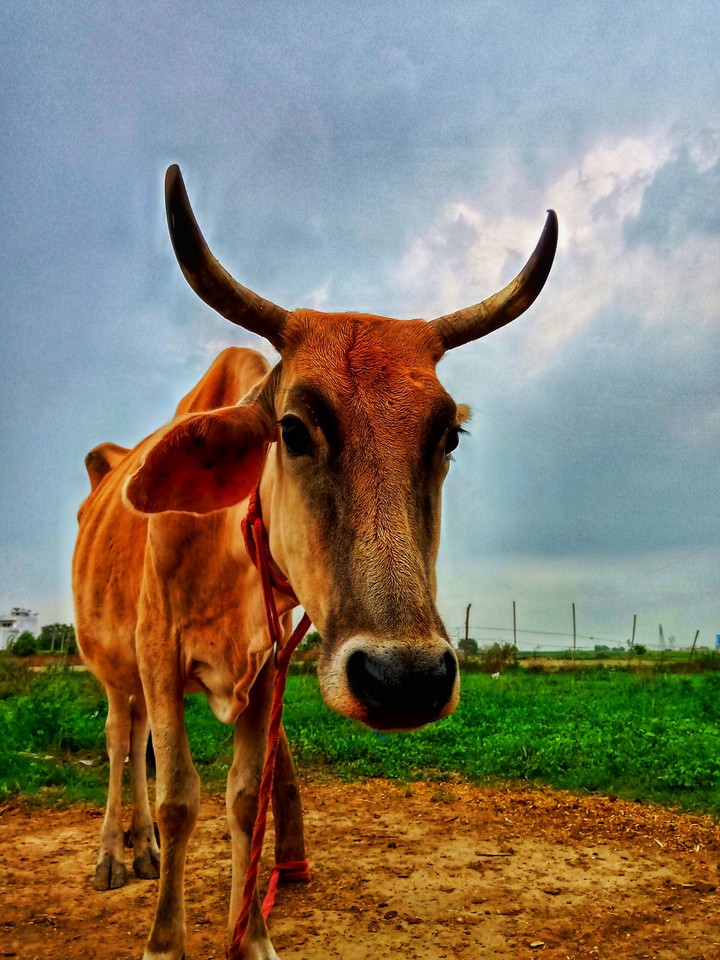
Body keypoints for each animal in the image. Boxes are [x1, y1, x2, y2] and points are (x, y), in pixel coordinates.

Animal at [73, 164, 557, 960]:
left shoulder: (267, 666)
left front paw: (251, 937)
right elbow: (179, 797)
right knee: (120, 740)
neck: (232, 561)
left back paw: (141, 852)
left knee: (136, 739)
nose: (406, 680)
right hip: (113, 665)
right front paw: (165, 941)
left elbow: (246, 799)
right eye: (293, 429)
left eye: (448, 437)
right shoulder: (159, 652)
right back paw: (118, 853)